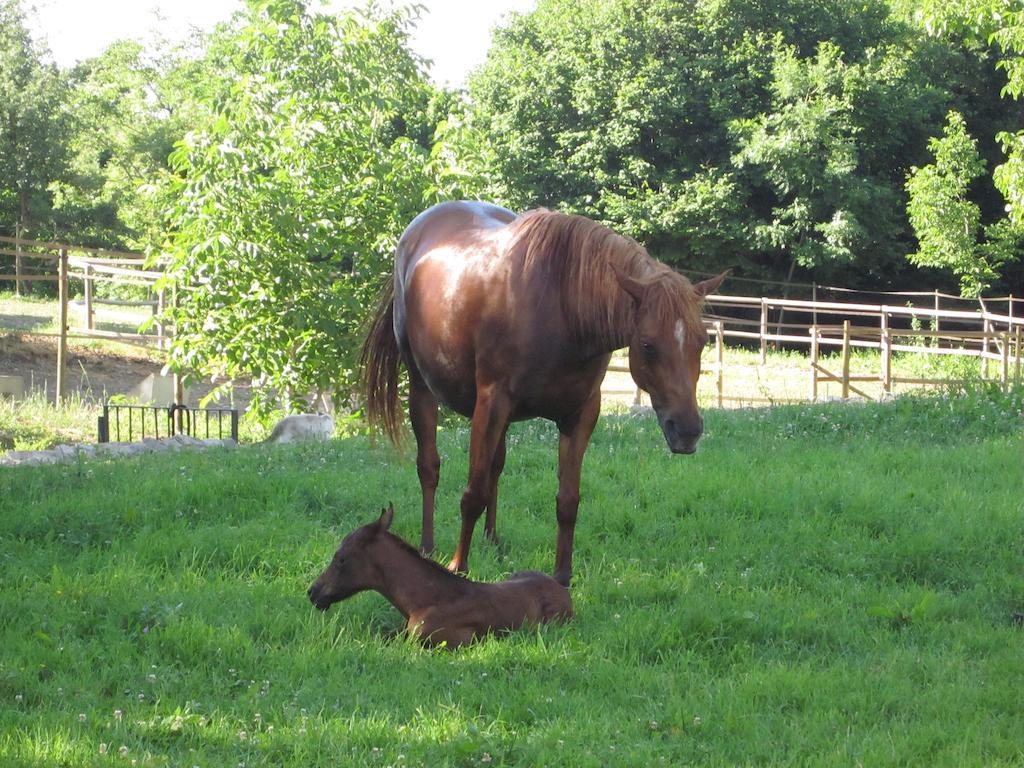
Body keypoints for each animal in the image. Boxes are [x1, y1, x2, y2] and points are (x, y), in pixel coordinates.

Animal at [364, 201, 724, 585]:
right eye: (647, 345)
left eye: (702, 341)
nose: (687, 431)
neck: (562, 308)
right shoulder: (490, 403)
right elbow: (472, 493)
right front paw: (458, 568)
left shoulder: (579, 415)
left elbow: (567, 501)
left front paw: (562, 578)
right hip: (422, 389)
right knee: (429, 467)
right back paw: (428, 547)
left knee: (495, 467)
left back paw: (492, 538)